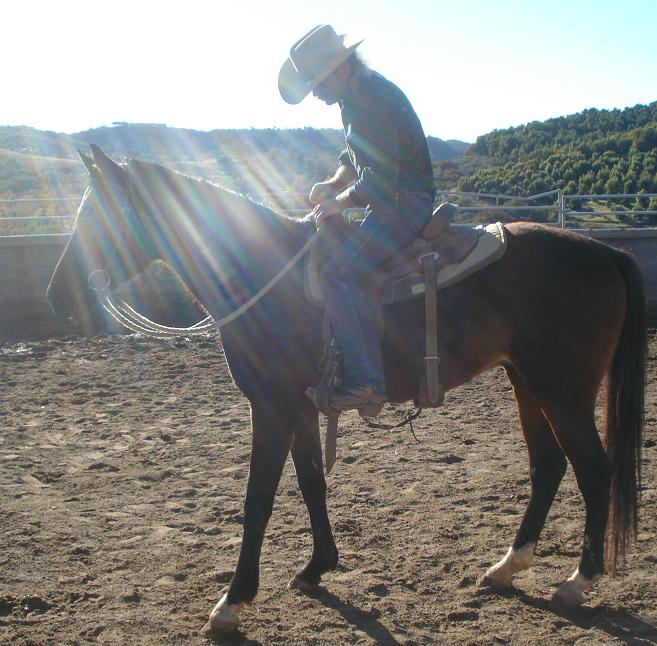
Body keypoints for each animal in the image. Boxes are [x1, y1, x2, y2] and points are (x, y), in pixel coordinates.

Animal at [46, 146, 646, 632]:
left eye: (98, 214)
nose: (57, 294)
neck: (264, 277)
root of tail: (603, 252)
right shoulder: (302, 407)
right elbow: (312, 482)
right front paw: (317, 568)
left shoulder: (270, 408)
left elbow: (258, 500)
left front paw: (232, 602)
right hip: (526, 383)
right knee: (549, 465)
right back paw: (506, 567)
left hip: (563, 391)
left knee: (594, 470)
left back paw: (577, 581)